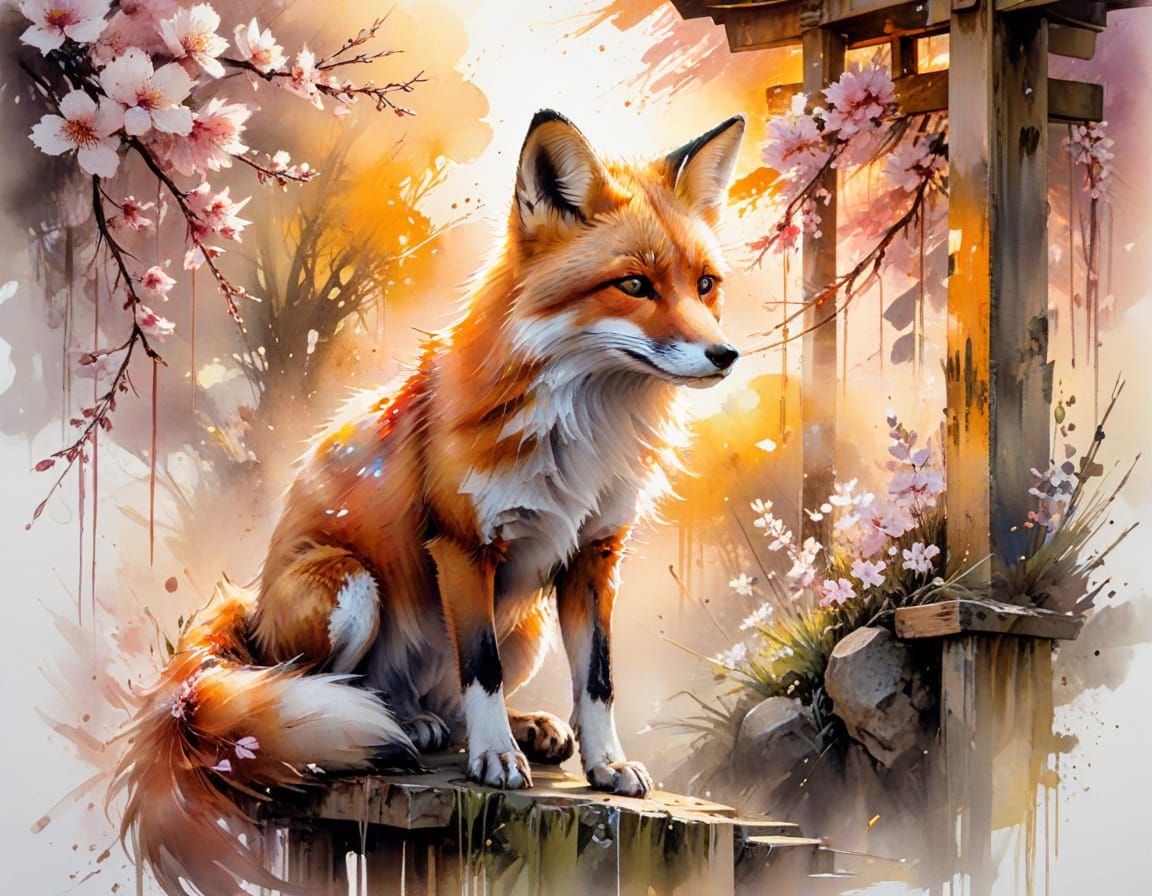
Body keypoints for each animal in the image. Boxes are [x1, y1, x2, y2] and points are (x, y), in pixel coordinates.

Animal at [112, 109, 745, 894]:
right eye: (634, 284)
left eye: (706, 284)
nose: (726, 356)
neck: (583, 431)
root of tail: (247, 607)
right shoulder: (463, 544)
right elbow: (481, 670)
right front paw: (494, 760)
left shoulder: (596, 554)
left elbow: (595, 681)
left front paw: (605, 765)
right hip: (350, 587)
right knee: (326, 687)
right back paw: (399, 727)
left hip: (526, 626)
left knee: (445, 698)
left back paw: (510, 729)